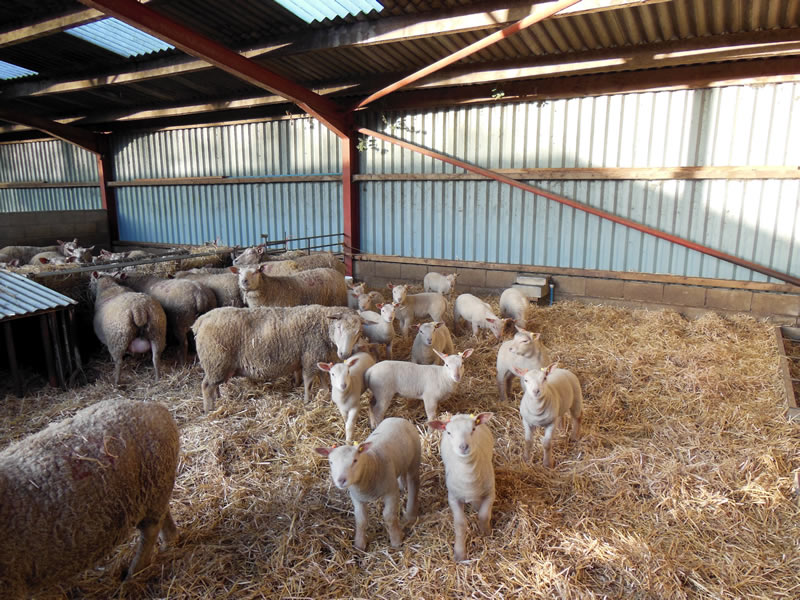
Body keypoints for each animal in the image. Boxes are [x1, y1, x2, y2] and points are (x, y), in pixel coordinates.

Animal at [0, 399, 179, 599]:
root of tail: (155, 407)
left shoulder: (10, 581)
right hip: (156, 487)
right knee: (163, 515)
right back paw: (170, 541)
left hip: (153, 484)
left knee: (149, 531)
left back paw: (133, 572)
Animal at [192, 305, 362, 410]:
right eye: (339, 327)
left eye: (358, 332)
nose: (344, 354)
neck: (322, 327)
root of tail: (201, 321)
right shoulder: (309, 357)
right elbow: (308, 381)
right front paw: (307, 400)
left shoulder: (318, 357)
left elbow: (323, 379)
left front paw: (325, 394)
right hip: (216, 360)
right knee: (206, 386)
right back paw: (209, 409)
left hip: (217, 365)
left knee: (214, 384)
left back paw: (218, 398)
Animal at [315, 417, 421, 550]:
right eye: (331, 462)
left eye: (355, 460)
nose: (341, 480)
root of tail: (397, 418)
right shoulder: (357, 497)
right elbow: (361, 520)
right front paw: (359, 544)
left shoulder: (391, 492)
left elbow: (389, 516)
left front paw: (396, 540)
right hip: (402, 460)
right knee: (402, 473)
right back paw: (402, 486)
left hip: (415, 459)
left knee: (413, 483)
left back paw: (410, 514)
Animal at [428, 413, 495, 562]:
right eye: (448, 432)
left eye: (473, 429)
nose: (463, 446)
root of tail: (460, 414)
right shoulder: (453, 498)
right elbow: (460, 524)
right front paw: (459, 554)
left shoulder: (490, 493)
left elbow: (484, 515)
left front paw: (486, 532)